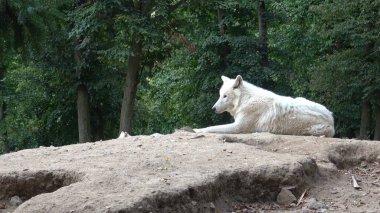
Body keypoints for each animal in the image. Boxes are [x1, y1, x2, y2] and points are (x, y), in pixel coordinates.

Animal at [194, 75, 334, 137]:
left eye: (225, 96)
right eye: (220, 95)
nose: (213, 109)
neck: (245, 100)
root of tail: (331, 117)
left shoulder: (238, 127)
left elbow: (213, 127)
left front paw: (197, 130)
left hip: (312, 130)